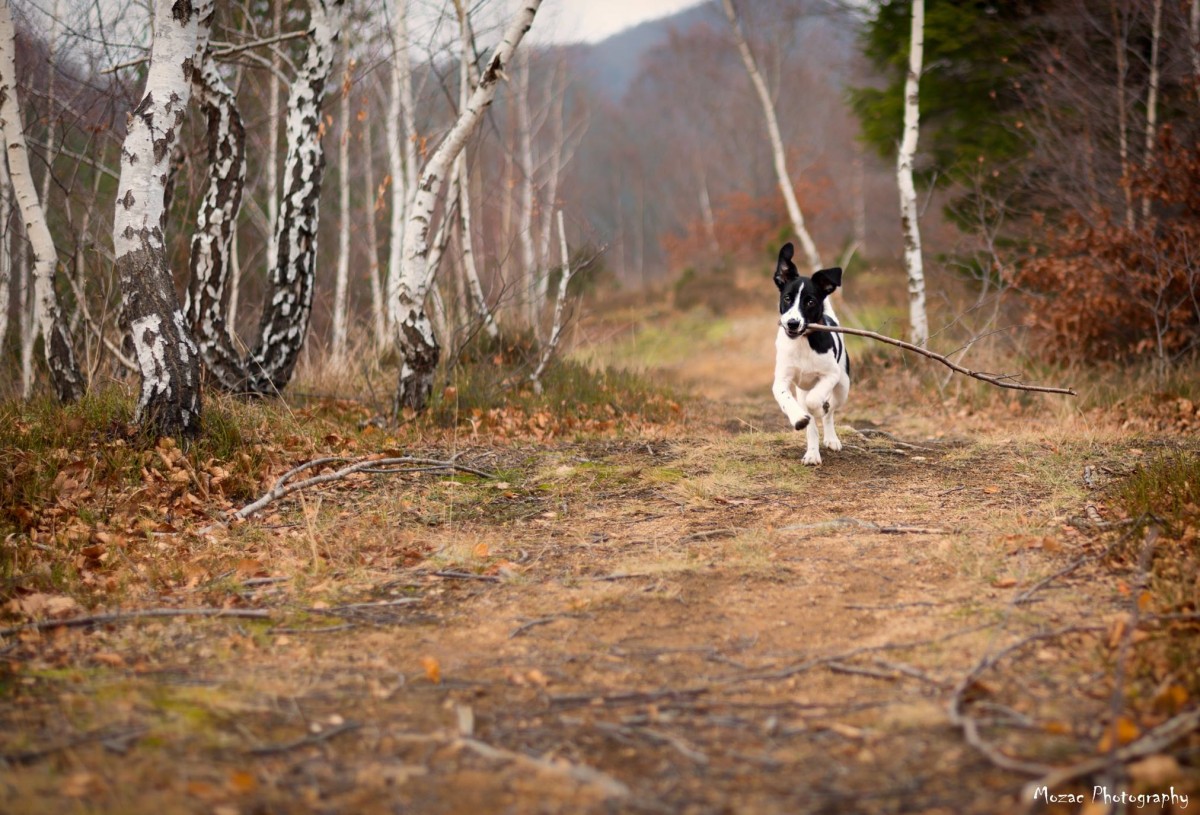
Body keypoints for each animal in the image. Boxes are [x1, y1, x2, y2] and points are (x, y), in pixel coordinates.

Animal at [772, 242, 849, 465]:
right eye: (787, 298)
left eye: (810, 302)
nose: (792, 323)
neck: (803, 341)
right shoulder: (781, 380)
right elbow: (787, 400)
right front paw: (798, 418)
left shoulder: (831, 375)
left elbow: (816, 402)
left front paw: (819, 406)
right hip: (802, 389)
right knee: (812, 425)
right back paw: (812, 453)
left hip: (843, 386)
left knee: (830, 411)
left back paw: (831, 438)